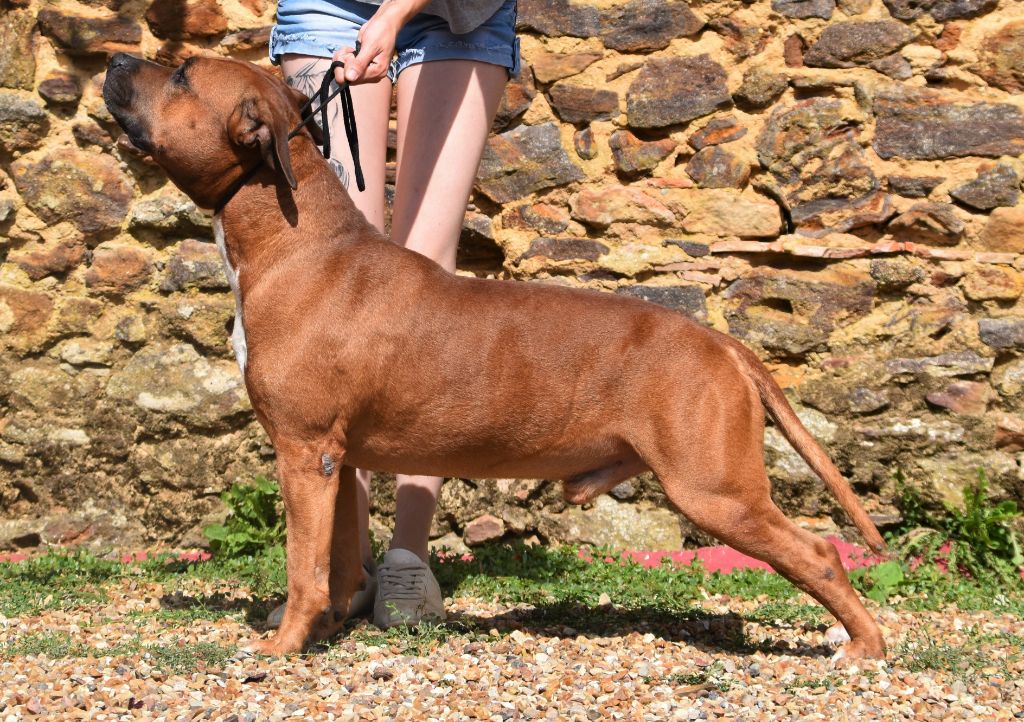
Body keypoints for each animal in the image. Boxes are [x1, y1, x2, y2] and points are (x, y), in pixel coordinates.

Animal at [103, 52, 888, 659]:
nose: (111, 61)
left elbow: (303, 566)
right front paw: (323, 630)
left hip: (716, 492)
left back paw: (865, 647)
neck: (297, 242)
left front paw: (283, 647)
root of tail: (721, 340)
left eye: (181, 74)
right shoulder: (335, 458)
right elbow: (335, 560)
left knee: (820, 554)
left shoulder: (302, 451)